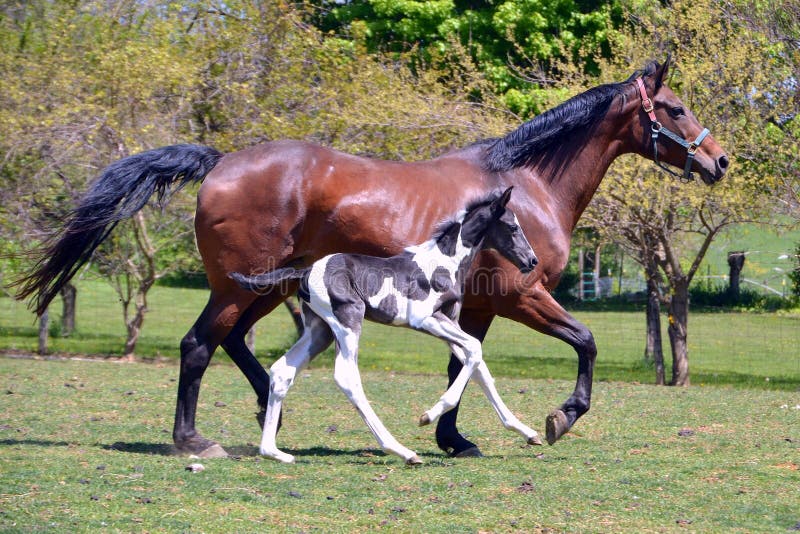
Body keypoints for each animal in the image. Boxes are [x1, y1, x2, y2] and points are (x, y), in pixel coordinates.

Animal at [233, 187, 544, 464]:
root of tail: (306, 270)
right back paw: (403, 451)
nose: (532, 261)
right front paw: (428, 415)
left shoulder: (449, 322)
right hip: (348, 321)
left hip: (318, 331)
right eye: (512, 227)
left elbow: (479, 367)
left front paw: (529, 433)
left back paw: (273, 452)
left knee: (282, 370)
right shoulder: (424, 319)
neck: (444, 264)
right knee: (347, 377)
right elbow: (475, 350)